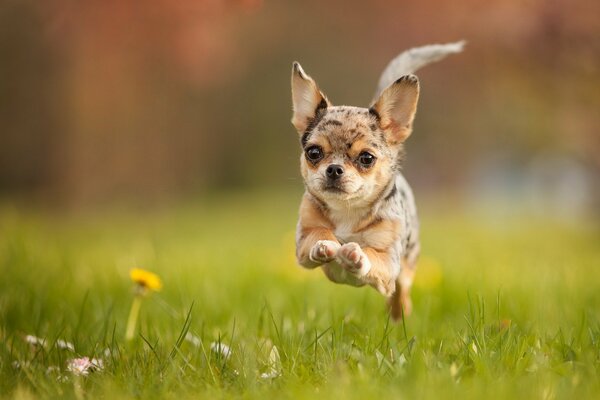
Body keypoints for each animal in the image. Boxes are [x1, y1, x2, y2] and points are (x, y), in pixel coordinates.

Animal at [290, 42, 464, 320]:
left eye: (366, 158)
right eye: (313, 153)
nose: (334, 169)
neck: (348, 211)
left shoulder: (388, 260)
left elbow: (372, 255)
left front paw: (356, 256)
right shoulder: (303, 239)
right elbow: (318, 233)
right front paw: (325, 245)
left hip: (407, 264)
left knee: (400, 290)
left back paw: (398, 314)